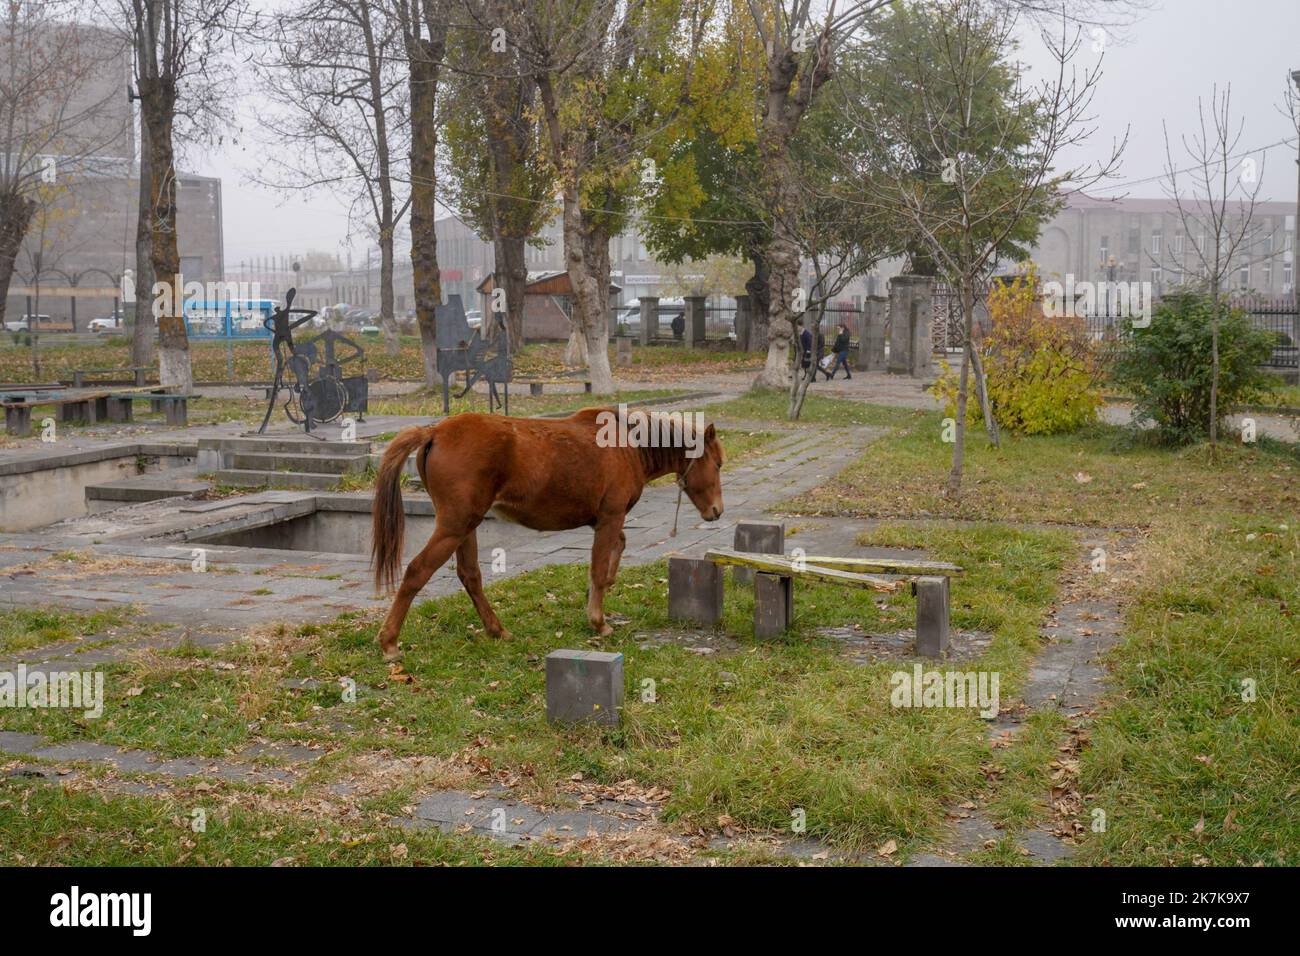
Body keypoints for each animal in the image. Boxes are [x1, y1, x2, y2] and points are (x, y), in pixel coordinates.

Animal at [371, 408, 728, 660]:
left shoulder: (605, 522)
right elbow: (599, 568)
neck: (627, 444)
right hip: (455, 526)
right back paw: (389, 642)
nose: (717, 510)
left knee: (470, 575)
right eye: (718, 464)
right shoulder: (610, 518)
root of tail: (434, 431)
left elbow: (615, 554)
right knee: (417, 572)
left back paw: (496, 630)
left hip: (465, 527)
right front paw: (598, 620)